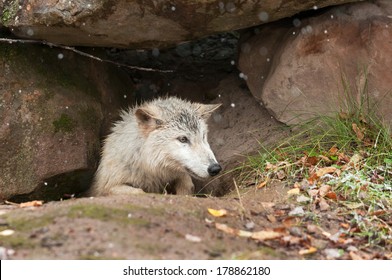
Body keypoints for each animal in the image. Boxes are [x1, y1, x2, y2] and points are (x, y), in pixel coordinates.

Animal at [89, 97, 224, 196]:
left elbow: (187, 184)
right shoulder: (106, 185)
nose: (215, 168)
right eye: (183, 139)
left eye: (203, 136)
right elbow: (139, 192)